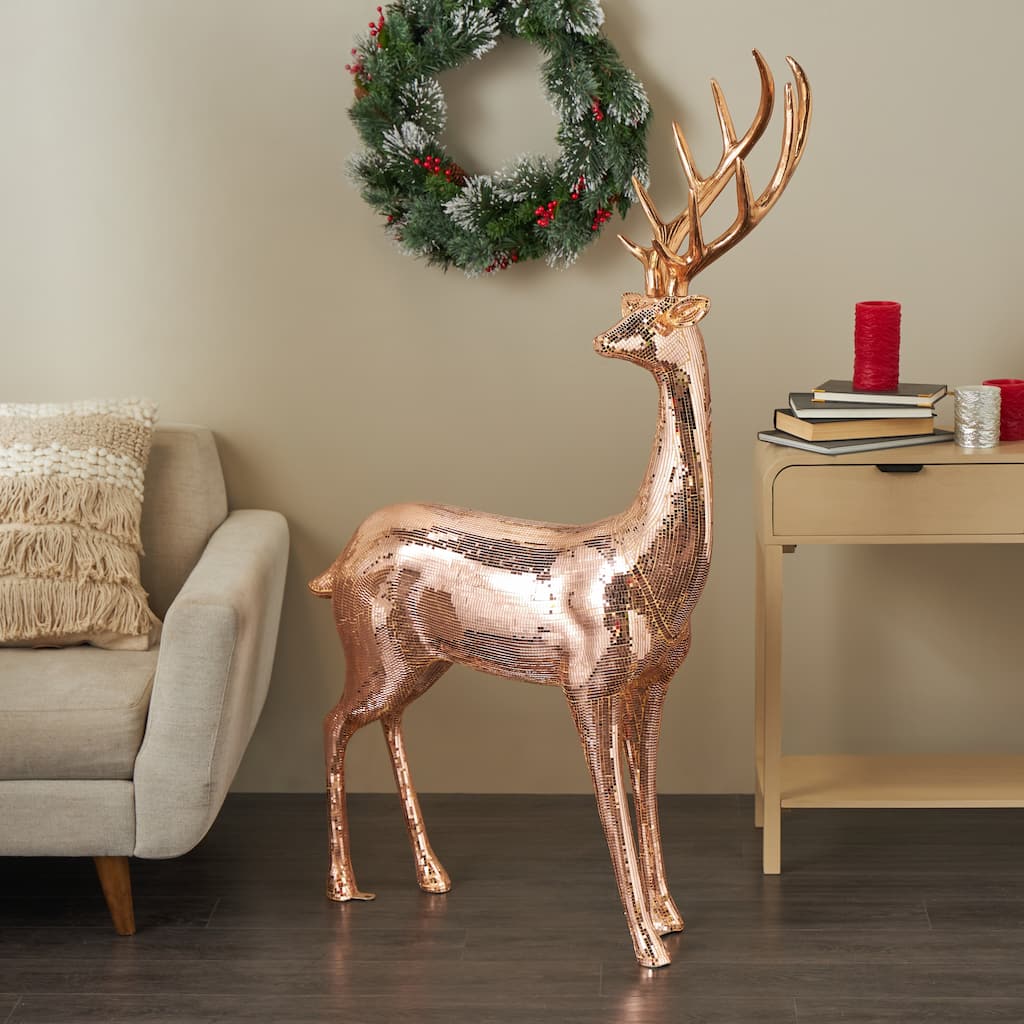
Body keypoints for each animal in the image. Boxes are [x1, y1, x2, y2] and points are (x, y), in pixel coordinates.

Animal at [310, 51, 811, 969]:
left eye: (652, 315)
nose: (601, 337)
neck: (650, 569)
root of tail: (337, 562)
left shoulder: (653, 681)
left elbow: (646, 790)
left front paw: (670, 914)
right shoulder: (586, 679)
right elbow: (610, 800)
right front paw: (646, 946)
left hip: (418, 661)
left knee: (385, 724)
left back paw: (431, 874)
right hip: (372, 651)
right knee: (333, 723)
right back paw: (343, 886)